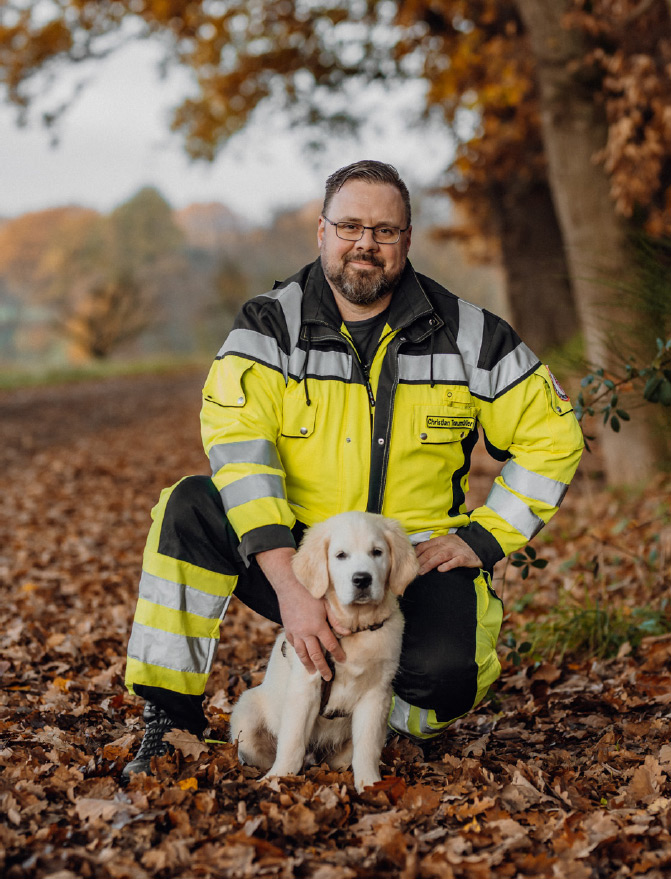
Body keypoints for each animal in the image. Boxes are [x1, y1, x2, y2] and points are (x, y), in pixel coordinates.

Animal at [232, 512, 420, 796]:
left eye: (377, 552)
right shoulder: (306, 685)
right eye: (341, 555)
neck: (354, 629)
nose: (362, 579)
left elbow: (367, 747)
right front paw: (278, 778)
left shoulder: (376, 694)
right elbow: (292, 740)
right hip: (247, 714)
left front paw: (370, 784)